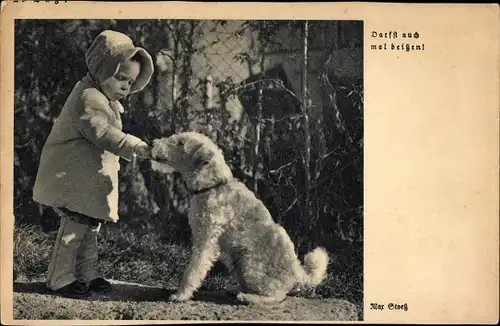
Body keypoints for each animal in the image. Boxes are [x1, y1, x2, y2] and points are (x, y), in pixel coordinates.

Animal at [149, 131, 328, 304]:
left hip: (249, 263)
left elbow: (192, 271)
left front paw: (180, 296)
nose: (152, 143)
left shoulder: (206, 241)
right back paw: (236, 289)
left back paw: (247, 297)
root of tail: (299, 273)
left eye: (181, 143)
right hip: (236, 261)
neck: (212, 186)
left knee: (277, 296)